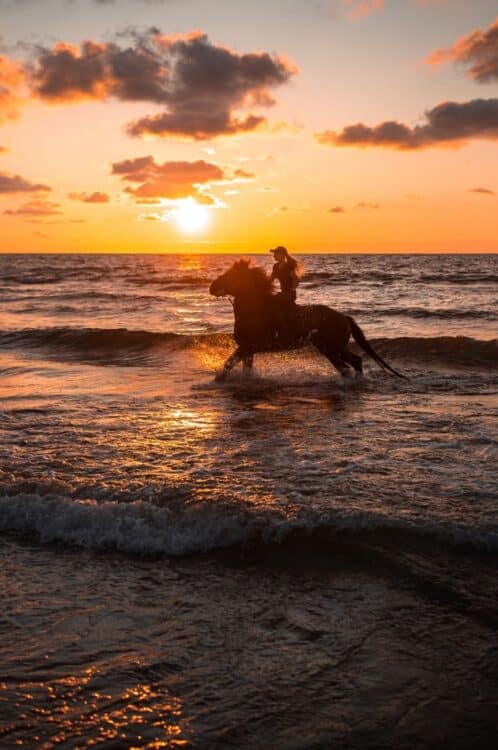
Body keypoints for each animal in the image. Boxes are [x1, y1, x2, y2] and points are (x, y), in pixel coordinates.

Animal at [210, 262, 404, 384]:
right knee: (354, 363)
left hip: (332, 348)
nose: (212, 287)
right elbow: (243, 369)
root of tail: (344, 317)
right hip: (333, 348)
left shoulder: (247, 347)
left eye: (231, 276)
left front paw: (216, 381)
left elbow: (227, 365)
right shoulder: (248, 350)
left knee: (349, 366)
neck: (256, 310)